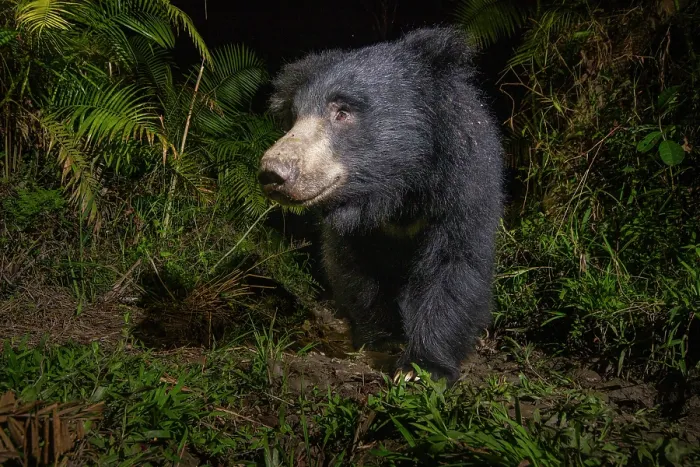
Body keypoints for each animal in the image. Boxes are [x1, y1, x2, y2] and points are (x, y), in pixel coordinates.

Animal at [258, 27, 503, 384]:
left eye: (342, 111)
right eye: (295, 117)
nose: (273, 172)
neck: (395, 190)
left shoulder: (463, 186)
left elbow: (454, 265)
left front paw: (420, 369)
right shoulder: (354, 225)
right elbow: (355, 269)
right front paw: (382, 339)